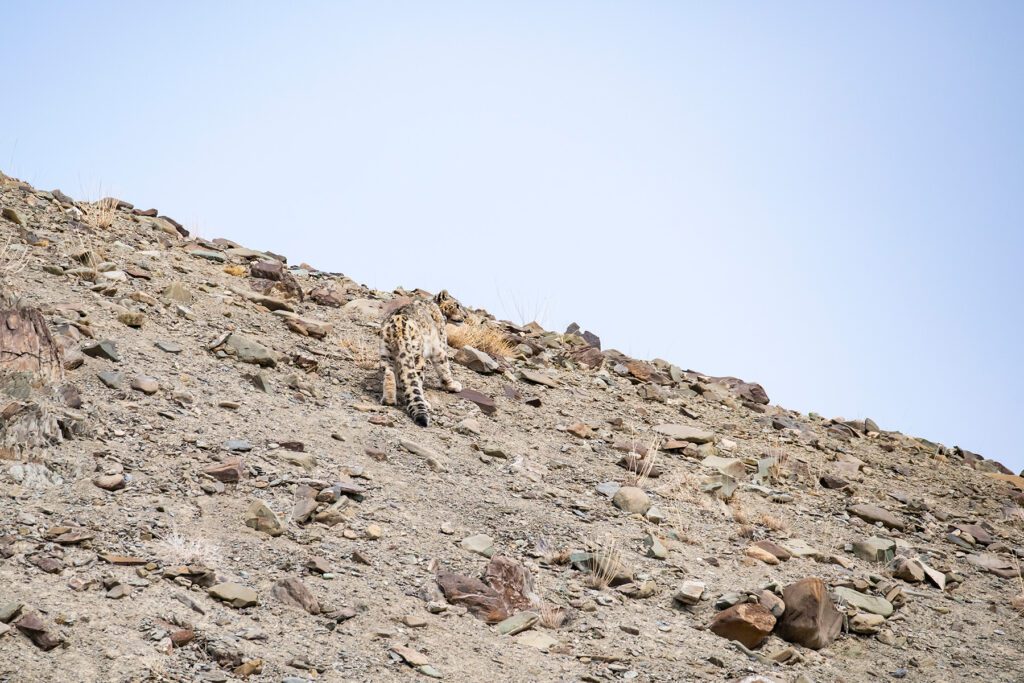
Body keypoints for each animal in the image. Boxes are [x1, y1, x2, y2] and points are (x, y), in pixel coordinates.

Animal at [379, 290, 464, 426]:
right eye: (457, 305)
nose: (465, 316)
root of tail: (397, 326)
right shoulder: (440, 347)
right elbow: (445, 367)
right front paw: (452, 385)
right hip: (417, 357)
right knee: (417, 381)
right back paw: (425, 403)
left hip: (386, 353)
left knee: (389, 373)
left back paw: (389, 400)